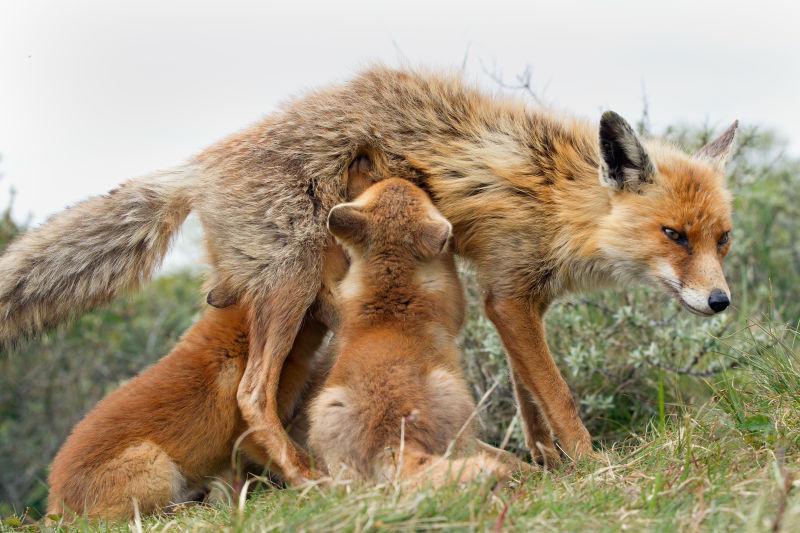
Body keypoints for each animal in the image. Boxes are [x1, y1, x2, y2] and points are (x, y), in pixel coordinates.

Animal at [0, 65, 736, 482]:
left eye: (722, 239)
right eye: (673, 235)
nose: (721, 300)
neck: (557, 195)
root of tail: (198, 164)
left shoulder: (517, 300)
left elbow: (530, 400)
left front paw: (550, 464)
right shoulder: (508, 294)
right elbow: (558, 398)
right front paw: (590, 463)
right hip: (293, 280)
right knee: (250, 394)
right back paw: (302, 477)